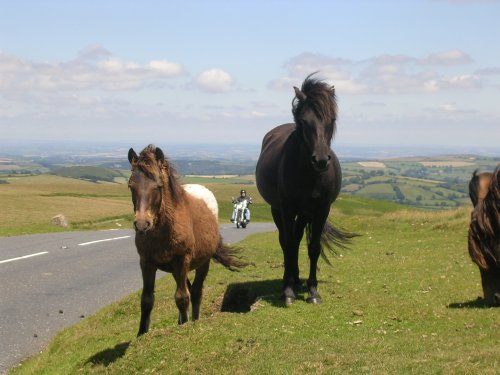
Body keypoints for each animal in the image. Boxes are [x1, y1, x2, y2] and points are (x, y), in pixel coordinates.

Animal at [254, 73, 356, 306]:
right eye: (304, 122)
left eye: (331, 120)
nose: (321, 160)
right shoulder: (287, 209)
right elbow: (289, 244)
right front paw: (288, 291)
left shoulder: (321, 210)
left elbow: (313, 247)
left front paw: (313, 291)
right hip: (277, 210)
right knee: (286, 242)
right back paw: (290, 280)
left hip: (304, 214)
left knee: (298, 238)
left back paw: (297, 278)